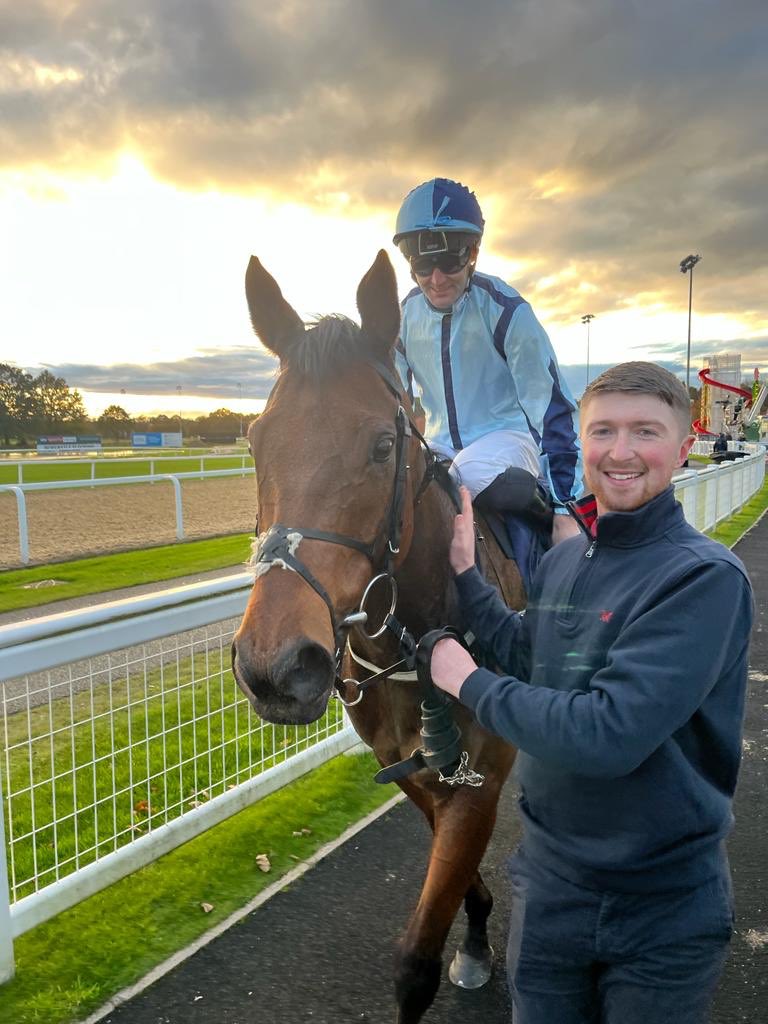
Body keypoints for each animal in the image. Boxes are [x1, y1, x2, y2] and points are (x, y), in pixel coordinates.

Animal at [231, 249, 528, 1024]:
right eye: (255, 440)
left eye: (384, 444)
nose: (276, 665)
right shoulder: (412, 769)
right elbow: (456, 877)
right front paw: (476, 933)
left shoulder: (480, 777)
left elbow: (414, 962)